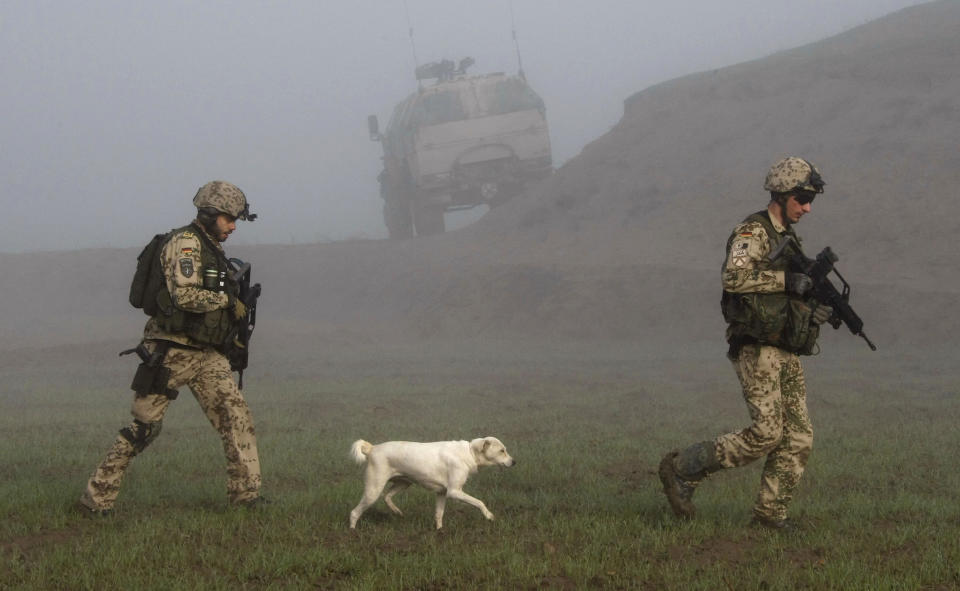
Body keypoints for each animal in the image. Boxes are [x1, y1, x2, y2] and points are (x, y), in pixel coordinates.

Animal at [346, 438, 512, 528]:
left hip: (404, 483)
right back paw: (352, 532)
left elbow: (439, 514)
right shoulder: (454, 492)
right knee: (354, 512)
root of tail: (372, 448)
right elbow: (479, 502)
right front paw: (489, 516)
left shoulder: (442, 493)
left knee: (386, 497)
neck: (470, 452)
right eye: (502, 451)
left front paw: (440, 531)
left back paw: (397, 511)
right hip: (373, 491)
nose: (514, 462)